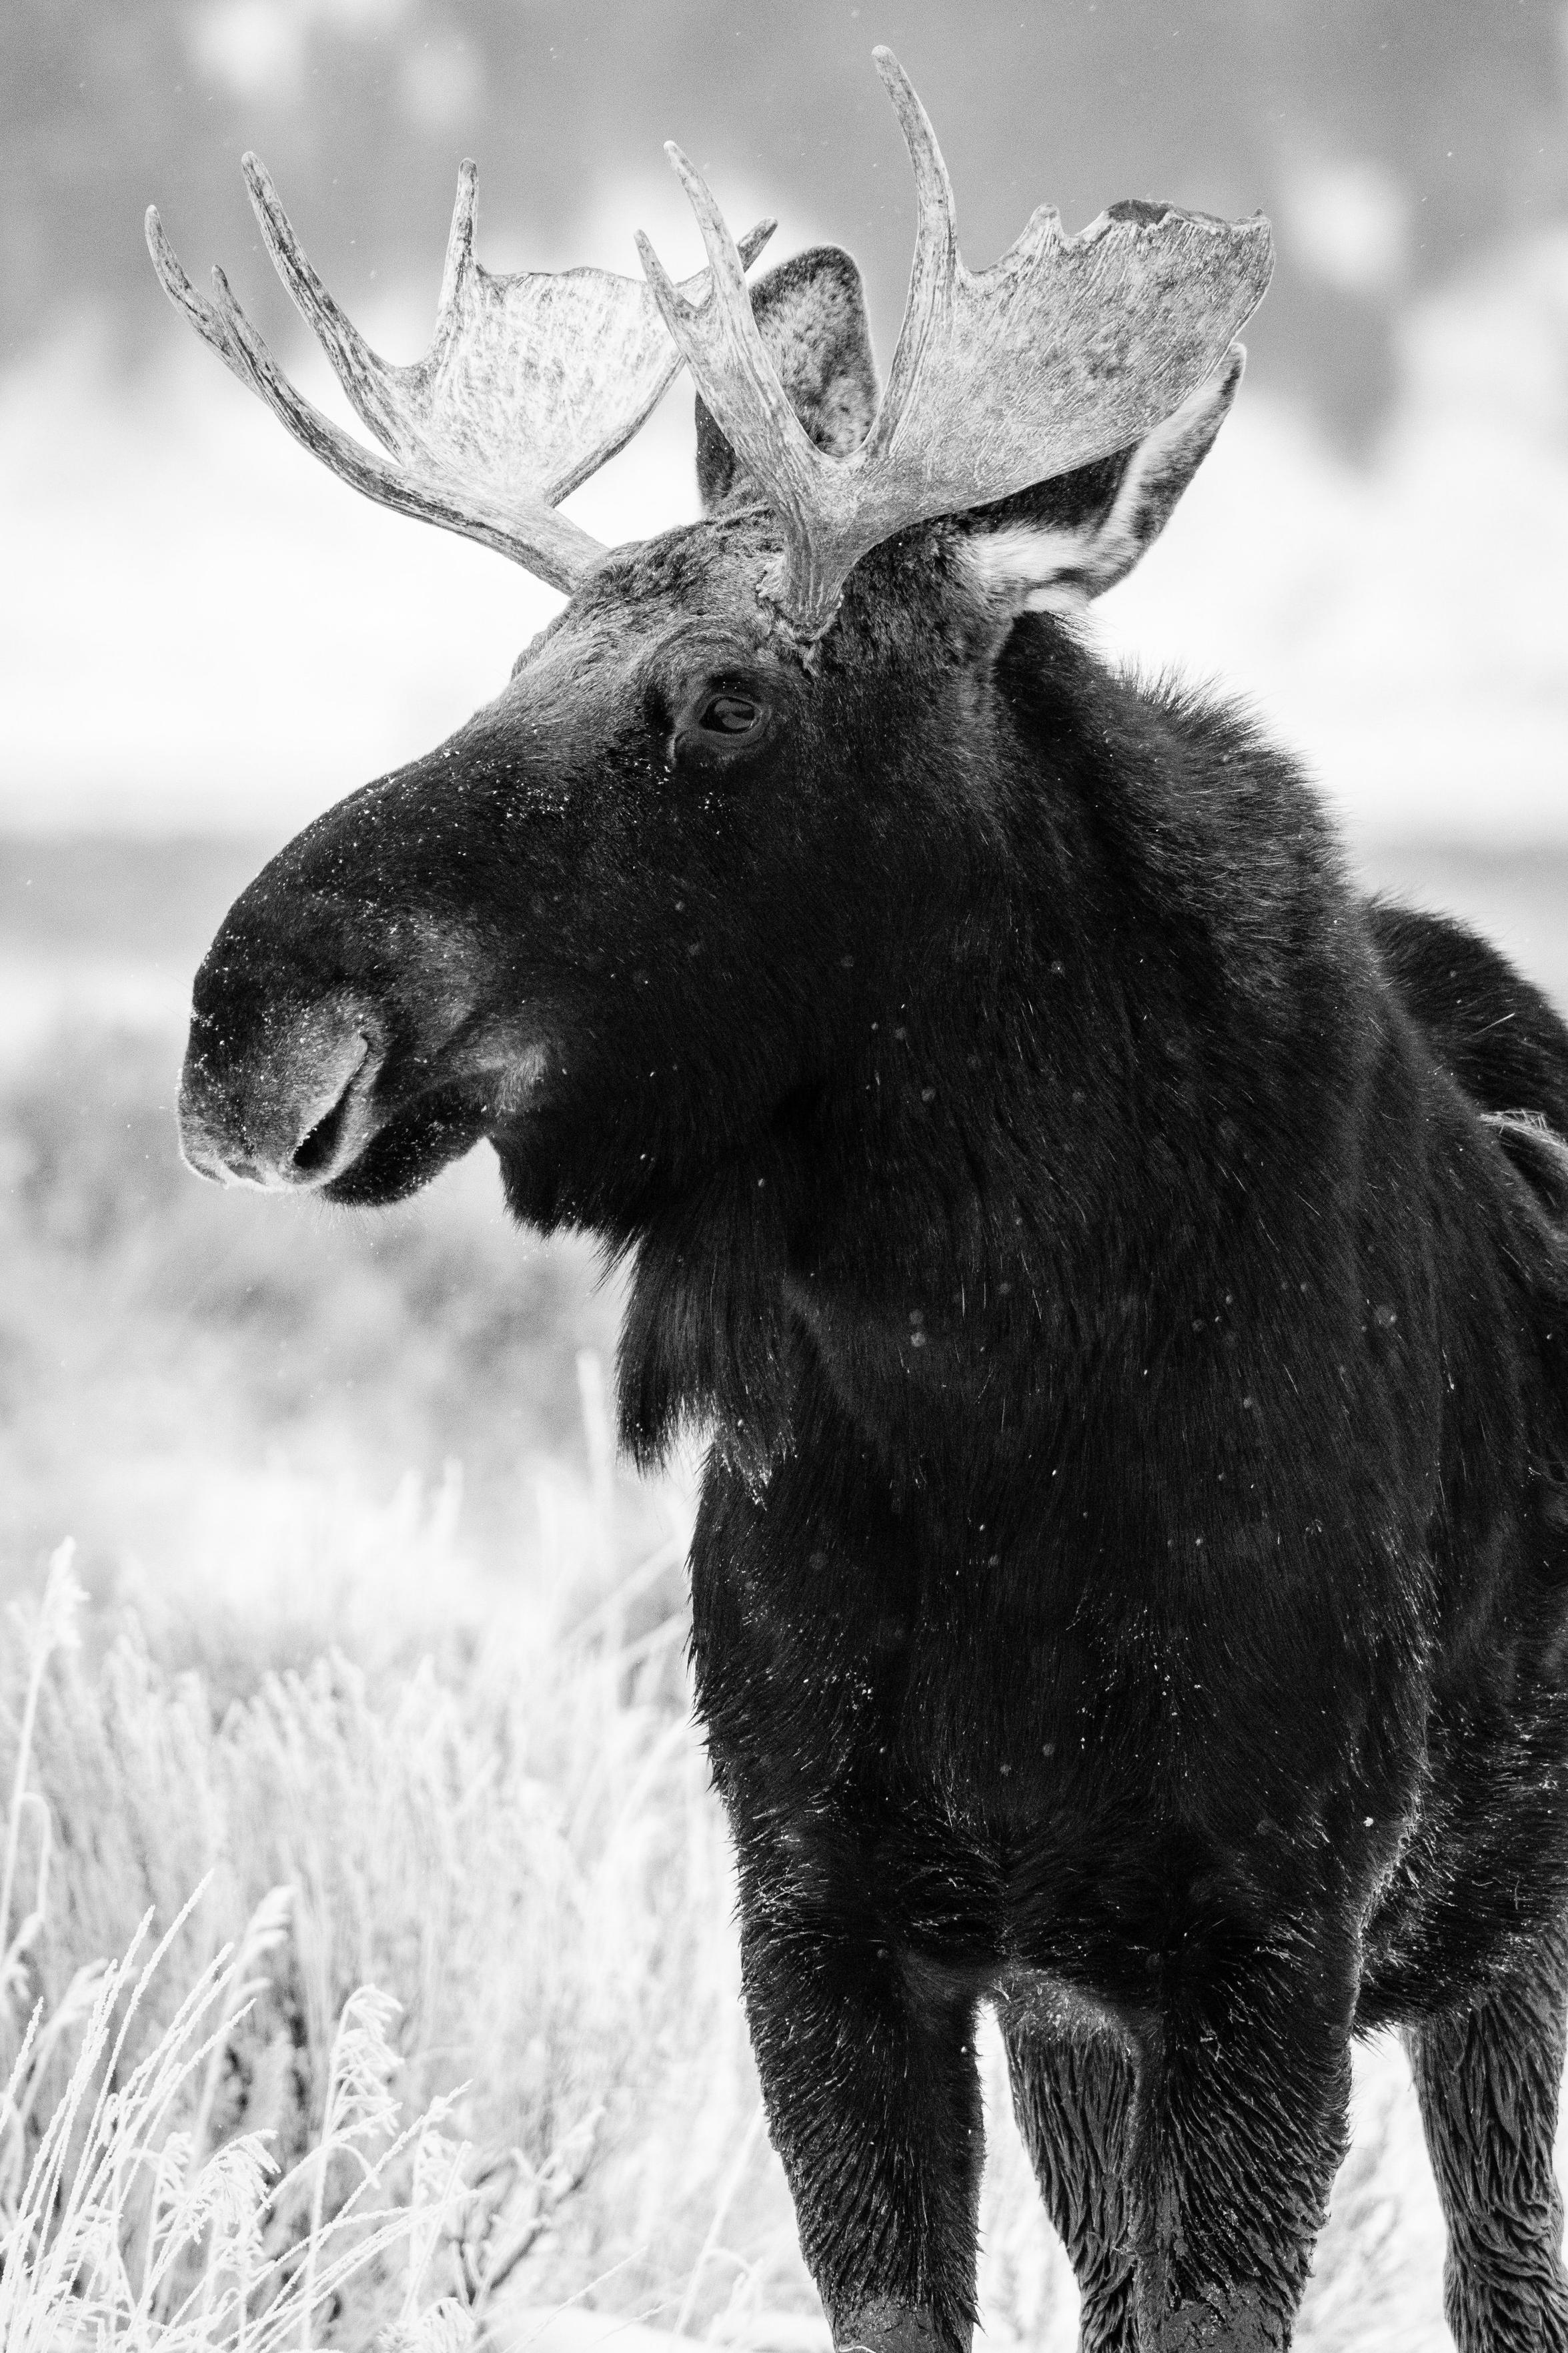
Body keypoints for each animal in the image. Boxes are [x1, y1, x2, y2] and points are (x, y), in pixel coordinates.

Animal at [148, 51, 1568, 2352]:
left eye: (727, 693)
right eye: (515, 653)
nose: (246, 1017)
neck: (981, 1406)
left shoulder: (1268, 1928)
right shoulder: (825, 1909)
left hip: (1489, 1929)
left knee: (1505, 2265)